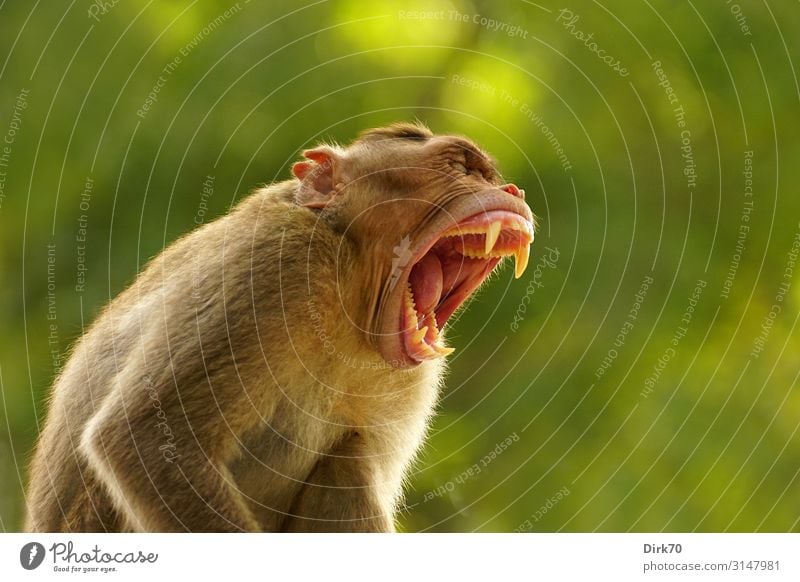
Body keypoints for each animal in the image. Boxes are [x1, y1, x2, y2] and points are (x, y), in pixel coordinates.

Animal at [25, 123, 536, 532]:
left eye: (488, 175)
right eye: (461, 167)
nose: (513, 192)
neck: (350, 302)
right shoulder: (276, 263)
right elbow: (144, 436)